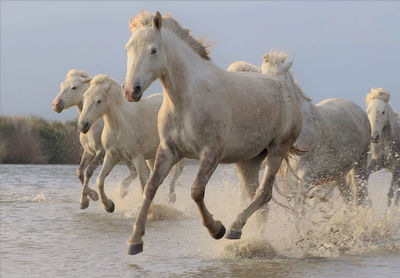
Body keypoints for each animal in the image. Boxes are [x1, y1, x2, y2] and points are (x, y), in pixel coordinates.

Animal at [52, 70, 138, 210]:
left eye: (74, 87)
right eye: (62, 85)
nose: (55, 105)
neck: (93, 123)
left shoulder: (101, 152)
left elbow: (89, 171)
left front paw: (90, 198)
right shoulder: (88, 152)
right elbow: (79, 172)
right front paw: (89, 198)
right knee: (135, 172)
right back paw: (123, 192)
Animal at [77, 75, 184, 212]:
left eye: (99, 101)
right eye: (85, 96)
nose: (82, 125)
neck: (119, 126)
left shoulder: (136, 157)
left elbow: (143, 184)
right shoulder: (111, 156)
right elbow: (99, 180)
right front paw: (109, 206)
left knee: (177, 172)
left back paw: (171, 197)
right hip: (152, 156)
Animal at [122, 11, 304, 254]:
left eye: (153, 50)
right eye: (128, 48)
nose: (130, 91)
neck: (186, 101)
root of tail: (285, 87)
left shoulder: (211, 153)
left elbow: (196, 191)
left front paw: (216, 228)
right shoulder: (168, 151)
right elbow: (150, 188)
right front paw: (135, 241)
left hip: (277, 149)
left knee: (264, 194)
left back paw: (234, 228)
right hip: (248, 162)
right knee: (260, 201)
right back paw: (250, 238)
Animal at [228, 51, 372, 206]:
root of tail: (357, 110)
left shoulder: (306, 178)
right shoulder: (291, 181)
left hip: (360, 166)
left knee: (361, 197)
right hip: (337, 174)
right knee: (349, 199)